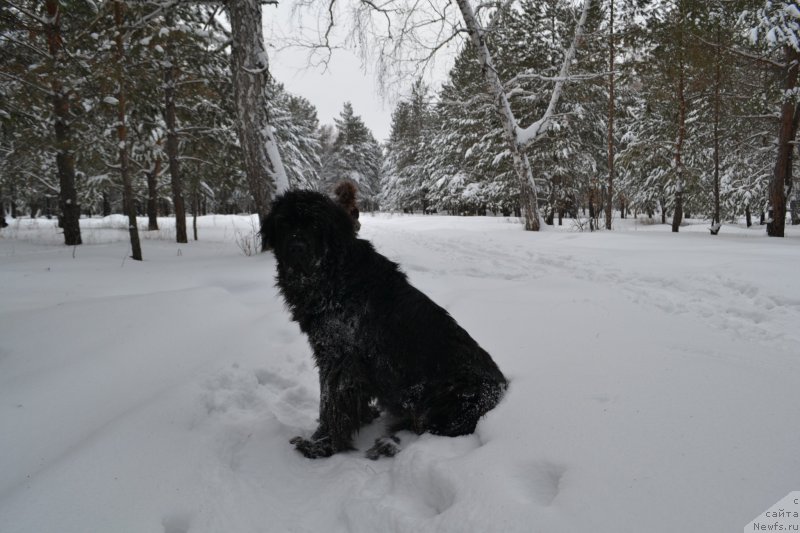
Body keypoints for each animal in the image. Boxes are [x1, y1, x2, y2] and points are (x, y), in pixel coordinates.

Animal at [266, 190, 510, 458]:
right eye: (284, 224)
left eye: (316, 225)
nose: (296, 248)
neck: (332, 275)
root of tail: (503, 391)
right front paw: (360, 419)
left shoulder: (339, 357)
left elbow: (331, 403)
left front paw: (321, 444)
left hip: (448, 397)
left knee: (426, 429)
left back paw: (388, 444)